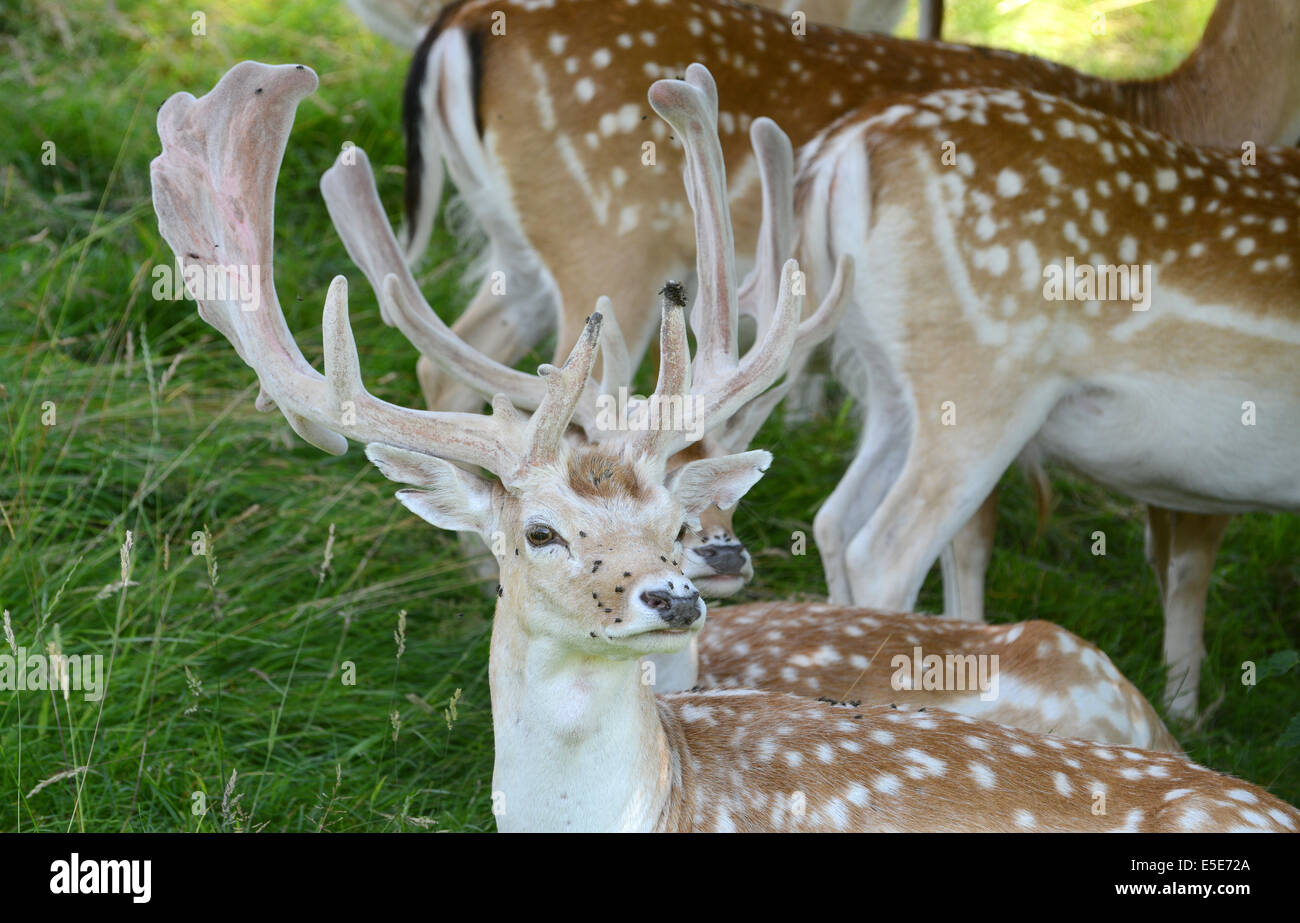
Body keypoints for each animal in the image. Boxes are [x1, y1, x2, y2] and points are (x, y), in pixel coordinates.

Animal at [790, 81, 1300, 722]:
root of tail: (846, 146)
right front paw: (1186, 708)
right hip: (983, 382)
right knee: (885, 551)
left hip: (891, 383)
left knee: (834, 517)